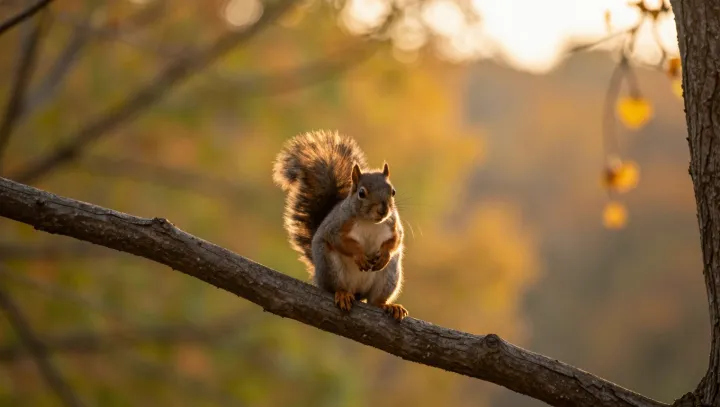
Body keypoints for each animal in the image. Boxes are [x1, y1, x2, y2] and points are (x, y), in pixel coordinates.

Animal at [273, 130, 408, 321]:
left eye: (393, 192)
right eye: (361, 193)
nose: (383, 210)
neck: (369, 222)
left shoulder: (393, 224)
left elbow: (396, 240)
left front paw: (384, 254)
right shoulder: (337, 226)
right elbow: (340, 241)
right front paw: (359, 255)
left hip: (389, 275)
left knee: (375, 300)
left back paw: (388, 305)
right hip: (330, 266)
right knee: (337, 287)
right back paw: (343, 294)